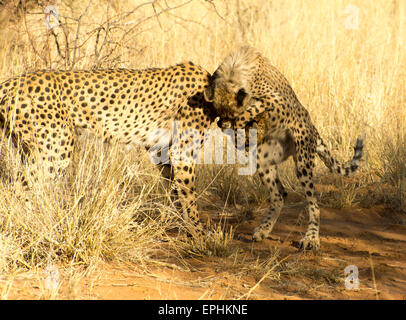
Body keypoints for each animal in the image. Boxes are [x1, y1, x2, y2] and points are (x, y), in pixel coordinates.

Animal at [0, 61, 219, 234]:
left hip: (28, 148)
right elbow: (188, 194)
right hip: (55, 151)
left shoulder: (161, 150)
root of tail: (8, 83)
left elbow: (176, 189)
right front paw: (199, 234)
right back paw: (26, 227)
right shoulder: (182, 152)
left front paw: (186, 226)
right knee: (16, 190)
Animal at [205, 46, 364, 250]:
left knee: (313, 203)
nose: (222, 124)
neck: (233, 74)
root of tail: (313, 129)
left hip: (303, 161)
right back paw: (263, 230)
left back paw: (311, 238)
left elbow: (255, 107)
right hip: (263, 161)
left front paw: (243, 122)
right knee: (279, 194)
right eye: (219, 113)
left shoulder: (278, 101)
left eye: (231, 114)